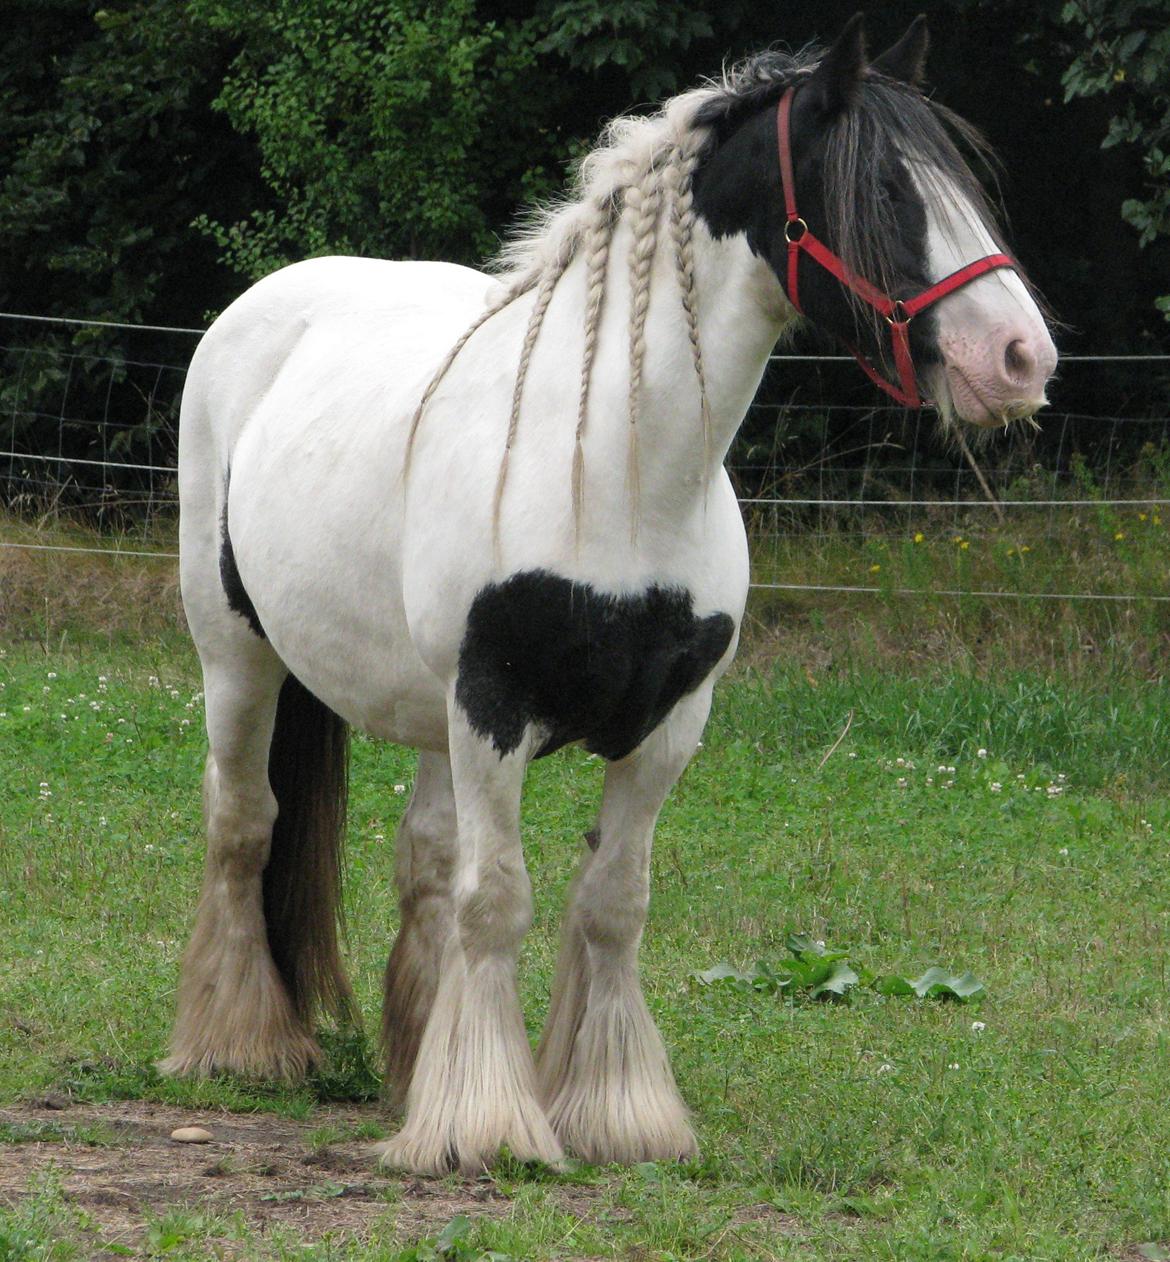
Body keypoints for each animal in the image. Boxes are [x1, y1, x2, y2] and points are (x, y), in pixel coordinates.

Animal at [166, 14, 1060, 1171]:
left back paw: (415, 1066)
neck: (619, 464)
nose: (1021, 358)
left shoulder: (669, 724)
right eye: (883, 192)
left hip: (424, 710)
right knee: (245, 823)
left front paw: (609, 1108)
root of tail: (272, 301)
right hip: (238, 656)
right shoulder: (495, 707)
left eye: (965, 187)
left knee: (422, 862)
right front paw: (487, 1125)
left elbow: (609, 905)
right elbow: (499, 902)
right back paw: (238, 1043)